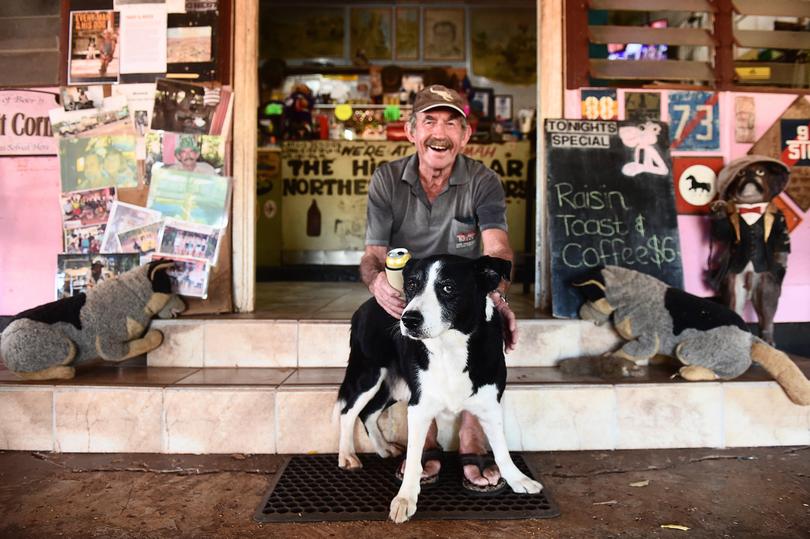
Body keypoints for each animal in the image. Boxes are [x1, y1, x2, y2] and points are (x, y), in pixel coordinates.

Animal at [334, 255, 544, 524]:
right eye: (411, 285)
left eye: (448, 287)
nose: (408, 319)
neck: (450, 347)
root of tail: (365, 305)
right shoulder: (419, 407)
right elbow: (415, 456)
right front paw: (405, 498)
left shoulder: (489, 403)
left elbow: (501, 448)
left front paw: (517, 479)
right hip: (369, 375)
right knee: (348, 412)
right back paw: (347, 456)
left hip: (396, 386)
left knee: (368, 412)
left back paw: (384, 448)